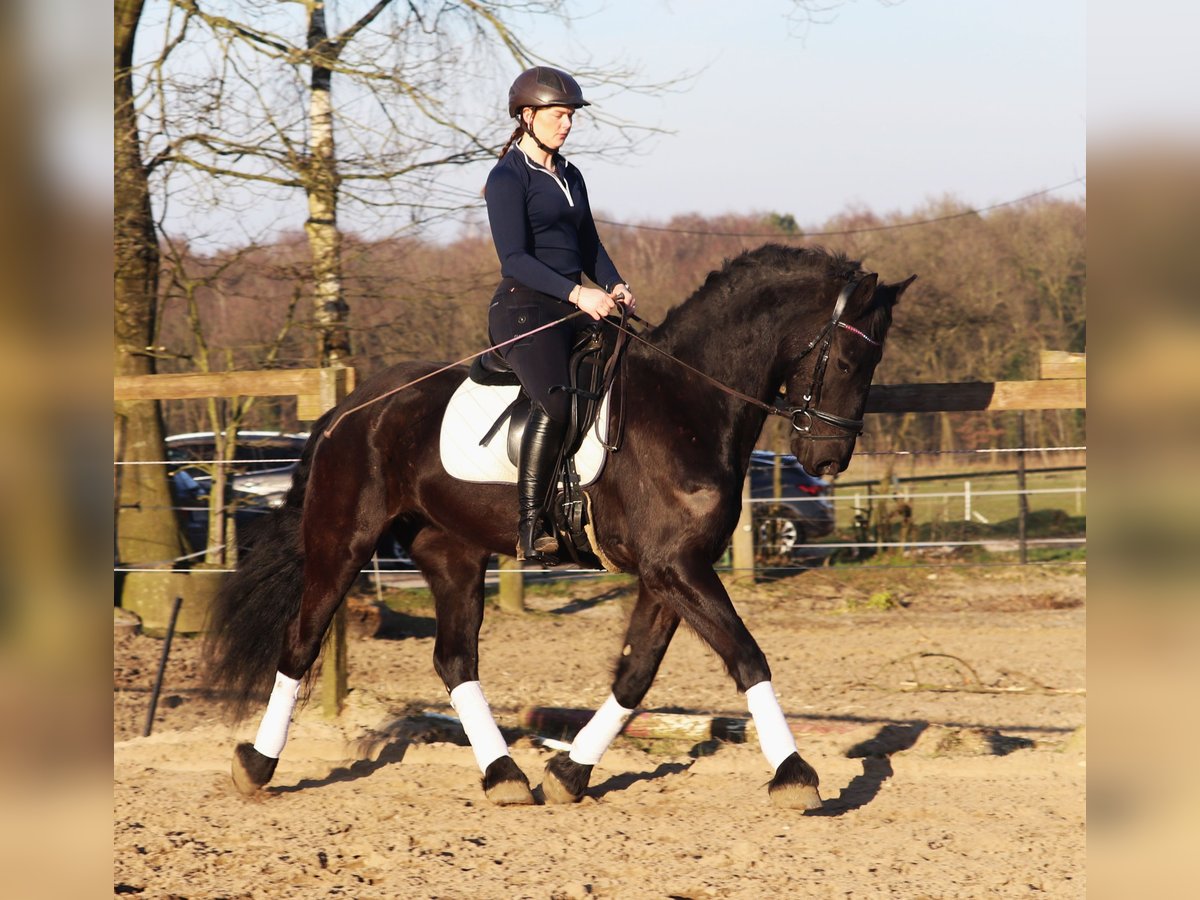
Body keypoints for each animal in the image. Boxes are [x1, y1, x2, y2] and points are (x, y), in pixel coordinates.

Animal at [204, 244, 907, 811]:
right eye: (849, 360)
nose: (827, 462)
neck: (688, 402)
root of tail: (348, 410)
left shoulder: (670, 570)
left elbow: (635, 674)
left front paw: (570, 772)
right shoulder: (675, 567)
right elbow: (747, 656)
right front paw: (796, 775)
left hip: (452, 552)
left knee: (454, 659)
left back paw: (504, 777)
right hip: (342, 540)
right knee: (302, 642)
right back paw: (256, 766)